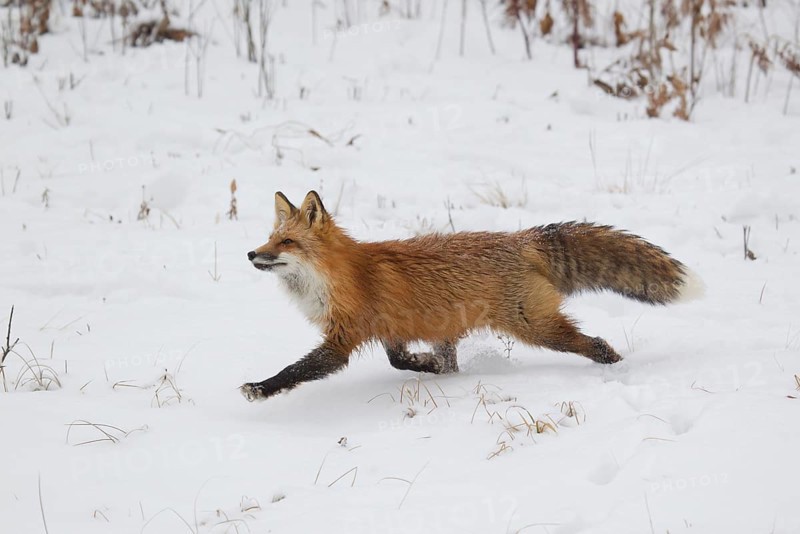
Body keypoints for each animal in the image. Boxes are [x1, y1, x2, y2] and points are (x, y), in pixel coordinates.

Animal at [240, 190, 700, 402]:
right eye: (269, 238)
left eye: (285, 242)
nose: (250, 254)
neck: (340, 276)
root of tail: (522, 238)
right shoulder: (394, 329)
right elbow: (403, 360)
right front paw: (431, 368)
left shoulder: (342, 340)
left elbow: (296, 370)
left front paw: (260, 387)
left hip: (536, 327)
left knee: (597, 343)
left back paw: (618, 369)